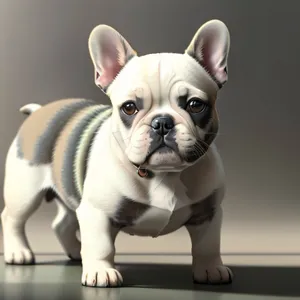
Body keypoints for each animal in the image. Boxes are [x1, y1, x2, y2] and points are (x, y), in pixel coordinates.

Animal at [0, 19, 232, 288]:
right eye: (129, 108)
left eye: (195, 105)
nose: (162, 122)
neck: (163, 174)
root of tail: (39, 111)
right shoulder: (96, 212)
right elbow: (102, 246)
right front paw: (101, 272)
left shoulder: (209, 212)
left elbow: (208, 245)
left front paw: (211, 269)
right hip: (24, 192)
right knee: (13, 218)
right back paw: (19, 253)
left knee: (63, 224)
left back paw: (76, 251)